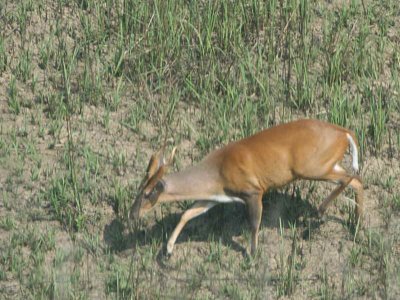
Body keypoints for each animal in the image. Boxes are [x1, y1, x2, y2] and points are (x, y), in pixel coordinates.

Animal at [130, 119, 364, 255]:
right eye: (138, 190)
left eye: (148, 193)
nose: (132, 214)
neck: (217, 171)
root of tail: (345, 132)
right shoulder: (214, 197)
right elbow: (188, 213)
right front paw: (168, 250)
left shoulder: (253, 190)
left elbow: (254, 223)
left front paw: (252, 255)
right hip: (327, 164)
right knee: (357, 181)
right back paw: (356, 221)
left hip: (313, 166)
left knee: (350, 177)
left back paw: (322, 211)